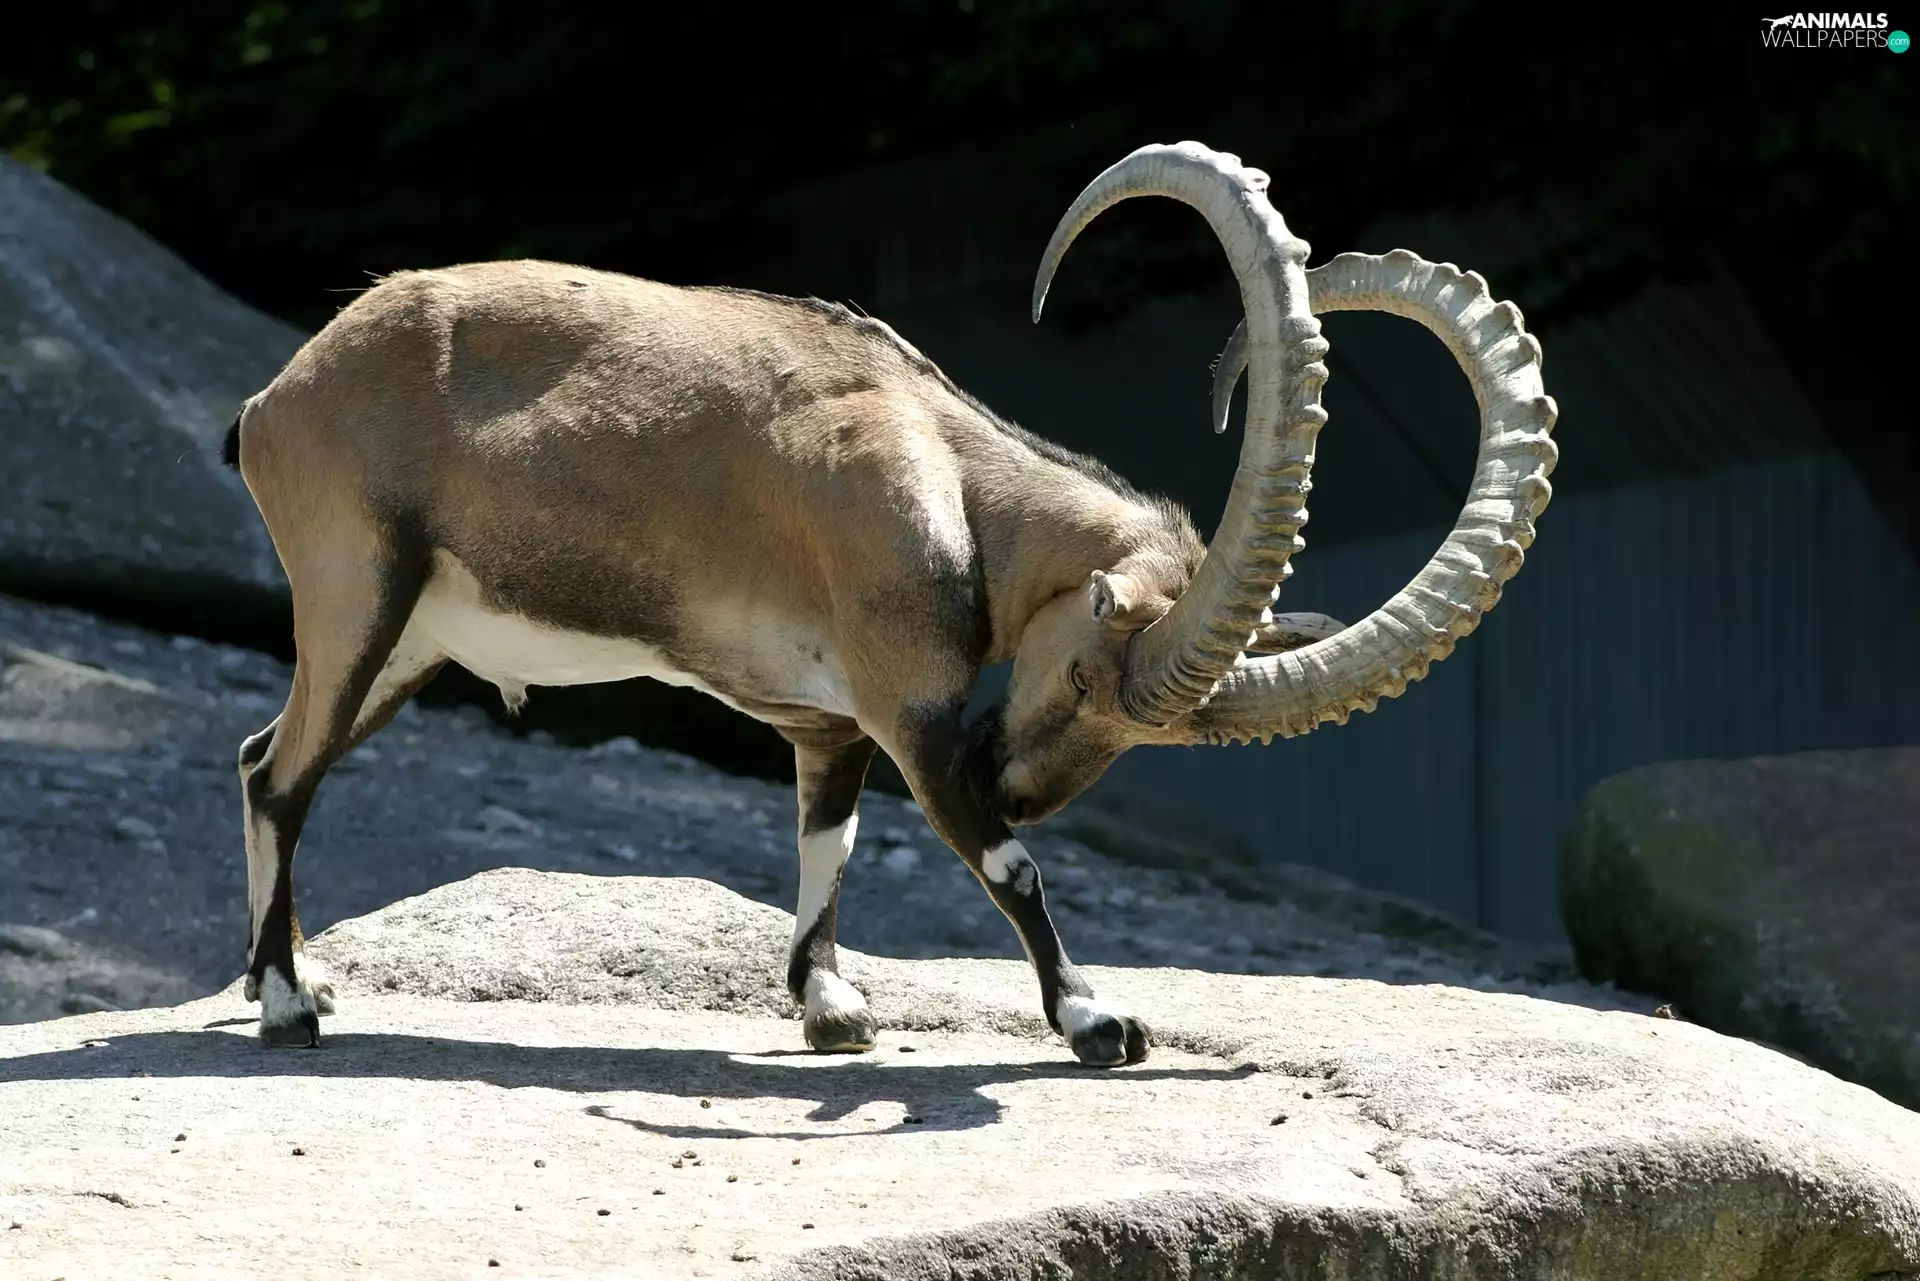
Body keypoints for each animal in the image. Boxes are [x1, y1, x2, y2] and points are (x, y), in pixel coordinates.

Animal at [221, 142, 1557, 1064]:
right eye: (1086, 668)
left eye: (1156, 736)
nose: (1017, 777)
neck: (947, 472)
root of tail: (280, 394)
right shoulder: (913, 713)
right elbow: (1005, 867)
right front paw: (1096, 1023)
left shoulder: (834, 721)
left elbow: (832, 841)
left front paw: (830, 1005)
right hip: (356, 591)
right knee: (285, 774)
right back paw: (288, 1008)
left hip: (410, 642)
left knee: (254, 757)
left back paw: (282, 978)